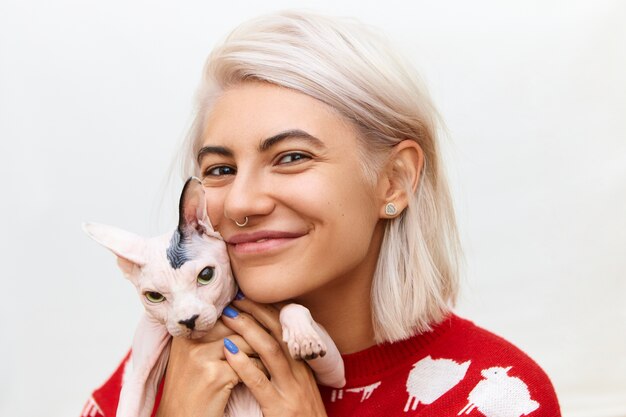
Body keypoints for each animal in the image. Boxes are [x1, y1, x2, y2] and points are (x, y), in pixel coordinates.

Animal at [81, 176, 344, 416]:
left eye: (206, 275)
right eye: (154, 296)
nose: (188, 320)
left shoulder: (335, 373)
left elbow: (293, 308)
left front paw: (304, 338)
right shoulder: (138, 377)